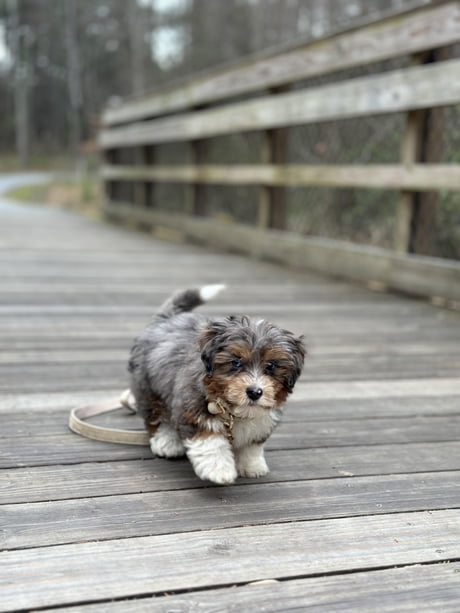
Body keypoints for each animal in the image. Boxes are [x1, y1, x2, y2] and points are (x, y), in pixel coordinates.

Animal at [127, 284, 306, 486]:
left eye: (271, 366)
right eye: (236, 363)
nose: (254, 392)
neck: (235, 413)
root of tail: (166, 319)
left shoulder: (261, 422)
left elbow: (251, 445)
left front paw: (252, 466)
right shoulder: (193, 408)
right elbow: (210, 441)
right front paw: (219, 470)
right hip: (148, 385)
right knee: (156, 415)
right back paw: (167, 442)